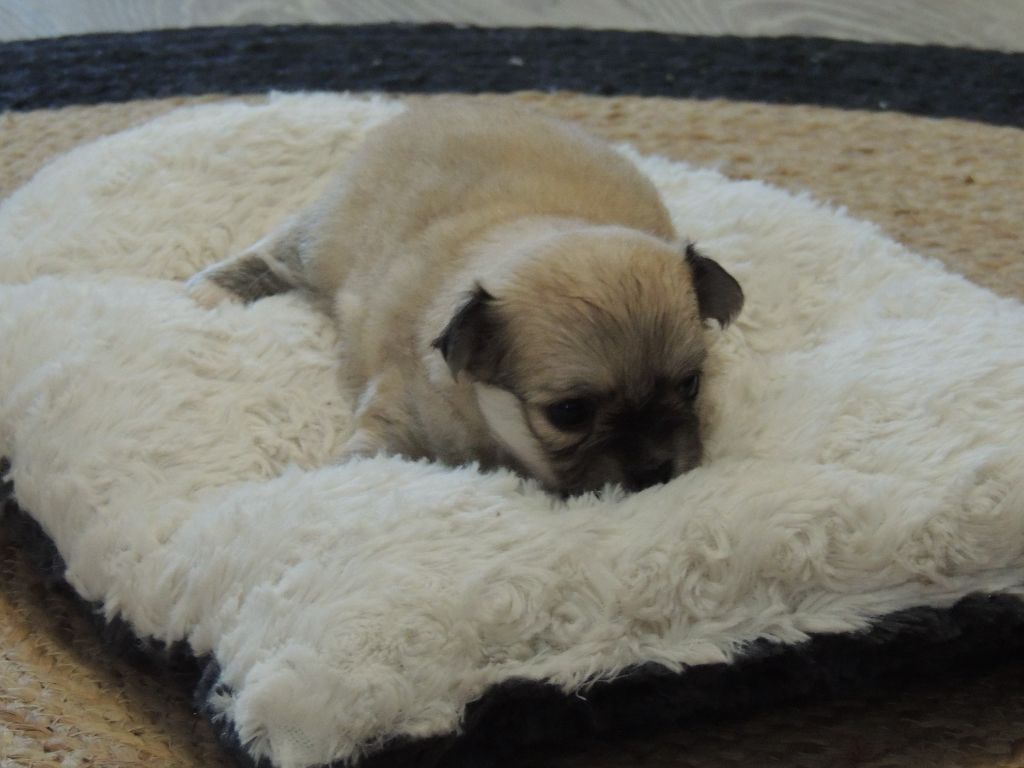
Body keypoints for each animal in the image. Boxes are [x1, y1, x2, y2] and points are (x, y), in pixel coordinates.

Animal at [187, 99, 743, 495]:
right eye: (569, 413)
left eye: (691, 385)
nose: (657, 471)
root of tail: (427, 109)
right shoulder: (398, 412)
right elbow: (369, 453)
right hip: (324, 241)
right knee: (278, 251)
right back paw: (214, 288)